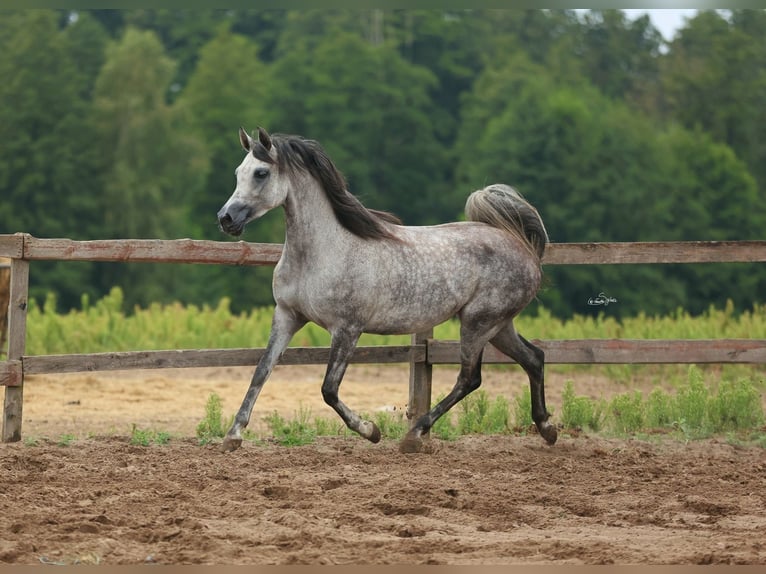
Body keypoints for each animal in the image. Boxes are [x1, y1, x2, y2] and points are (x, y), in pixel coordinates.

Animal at [218, 127, 560, 454]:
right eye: (237, 172)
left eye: (261, 173)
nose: (226, 218)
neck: (323, 252)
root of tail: (522, 246)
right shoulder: (288, 316)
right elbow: (262, 371)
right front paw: (233, 436)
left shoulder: (347, 328)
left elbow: (329, 389)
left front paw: (371, 431)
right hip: (498, 325)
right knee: (534, 358)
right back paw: (547, 429)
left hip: (478, 322)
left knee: (469, 378)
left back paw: (414, 435)